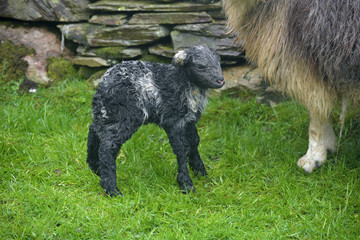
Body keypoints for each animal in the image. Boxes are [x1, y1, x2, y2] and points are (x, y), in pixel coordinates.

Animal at [86, 45, 224, 197]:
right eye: (200, 67)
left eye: (218, 63)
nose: (221, 81)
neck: (184, 82)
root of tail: (104, 83)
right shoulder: (173, 120)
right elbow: (182, 148)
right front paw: (186, 184)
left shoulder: (189, 120)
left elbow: (194, 142)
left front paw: (200, 171)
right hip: (125, 114)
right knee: (108, 146)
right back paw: (112, 189)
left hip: (107, 113)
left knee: (94, 131)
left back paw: (94, 167)